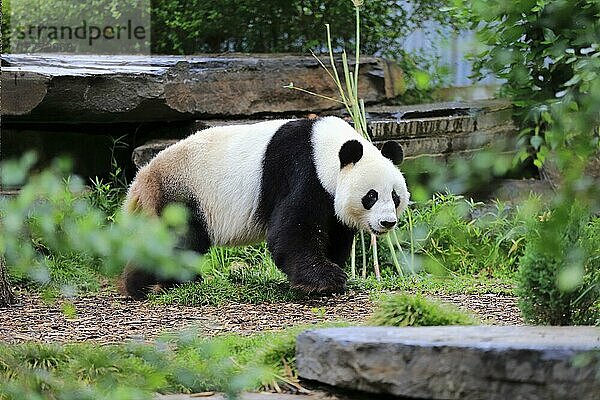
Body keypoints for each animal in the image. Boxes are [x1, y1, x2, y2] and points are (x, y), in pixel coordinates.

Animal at [118, 115, 408, 296]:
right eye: (371, 196)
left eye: (395, 197)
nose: (387, 222)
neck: (325, 148)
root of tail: (141, 179)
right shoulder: (302, 171)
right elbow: (293, 230)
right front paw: (325, 281)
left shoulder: (329, 196)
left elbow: (335, 231)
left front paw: (331, 267)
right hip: (183, 196)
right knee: (180, 241)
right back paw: (174, 284)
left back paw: (137, 287)